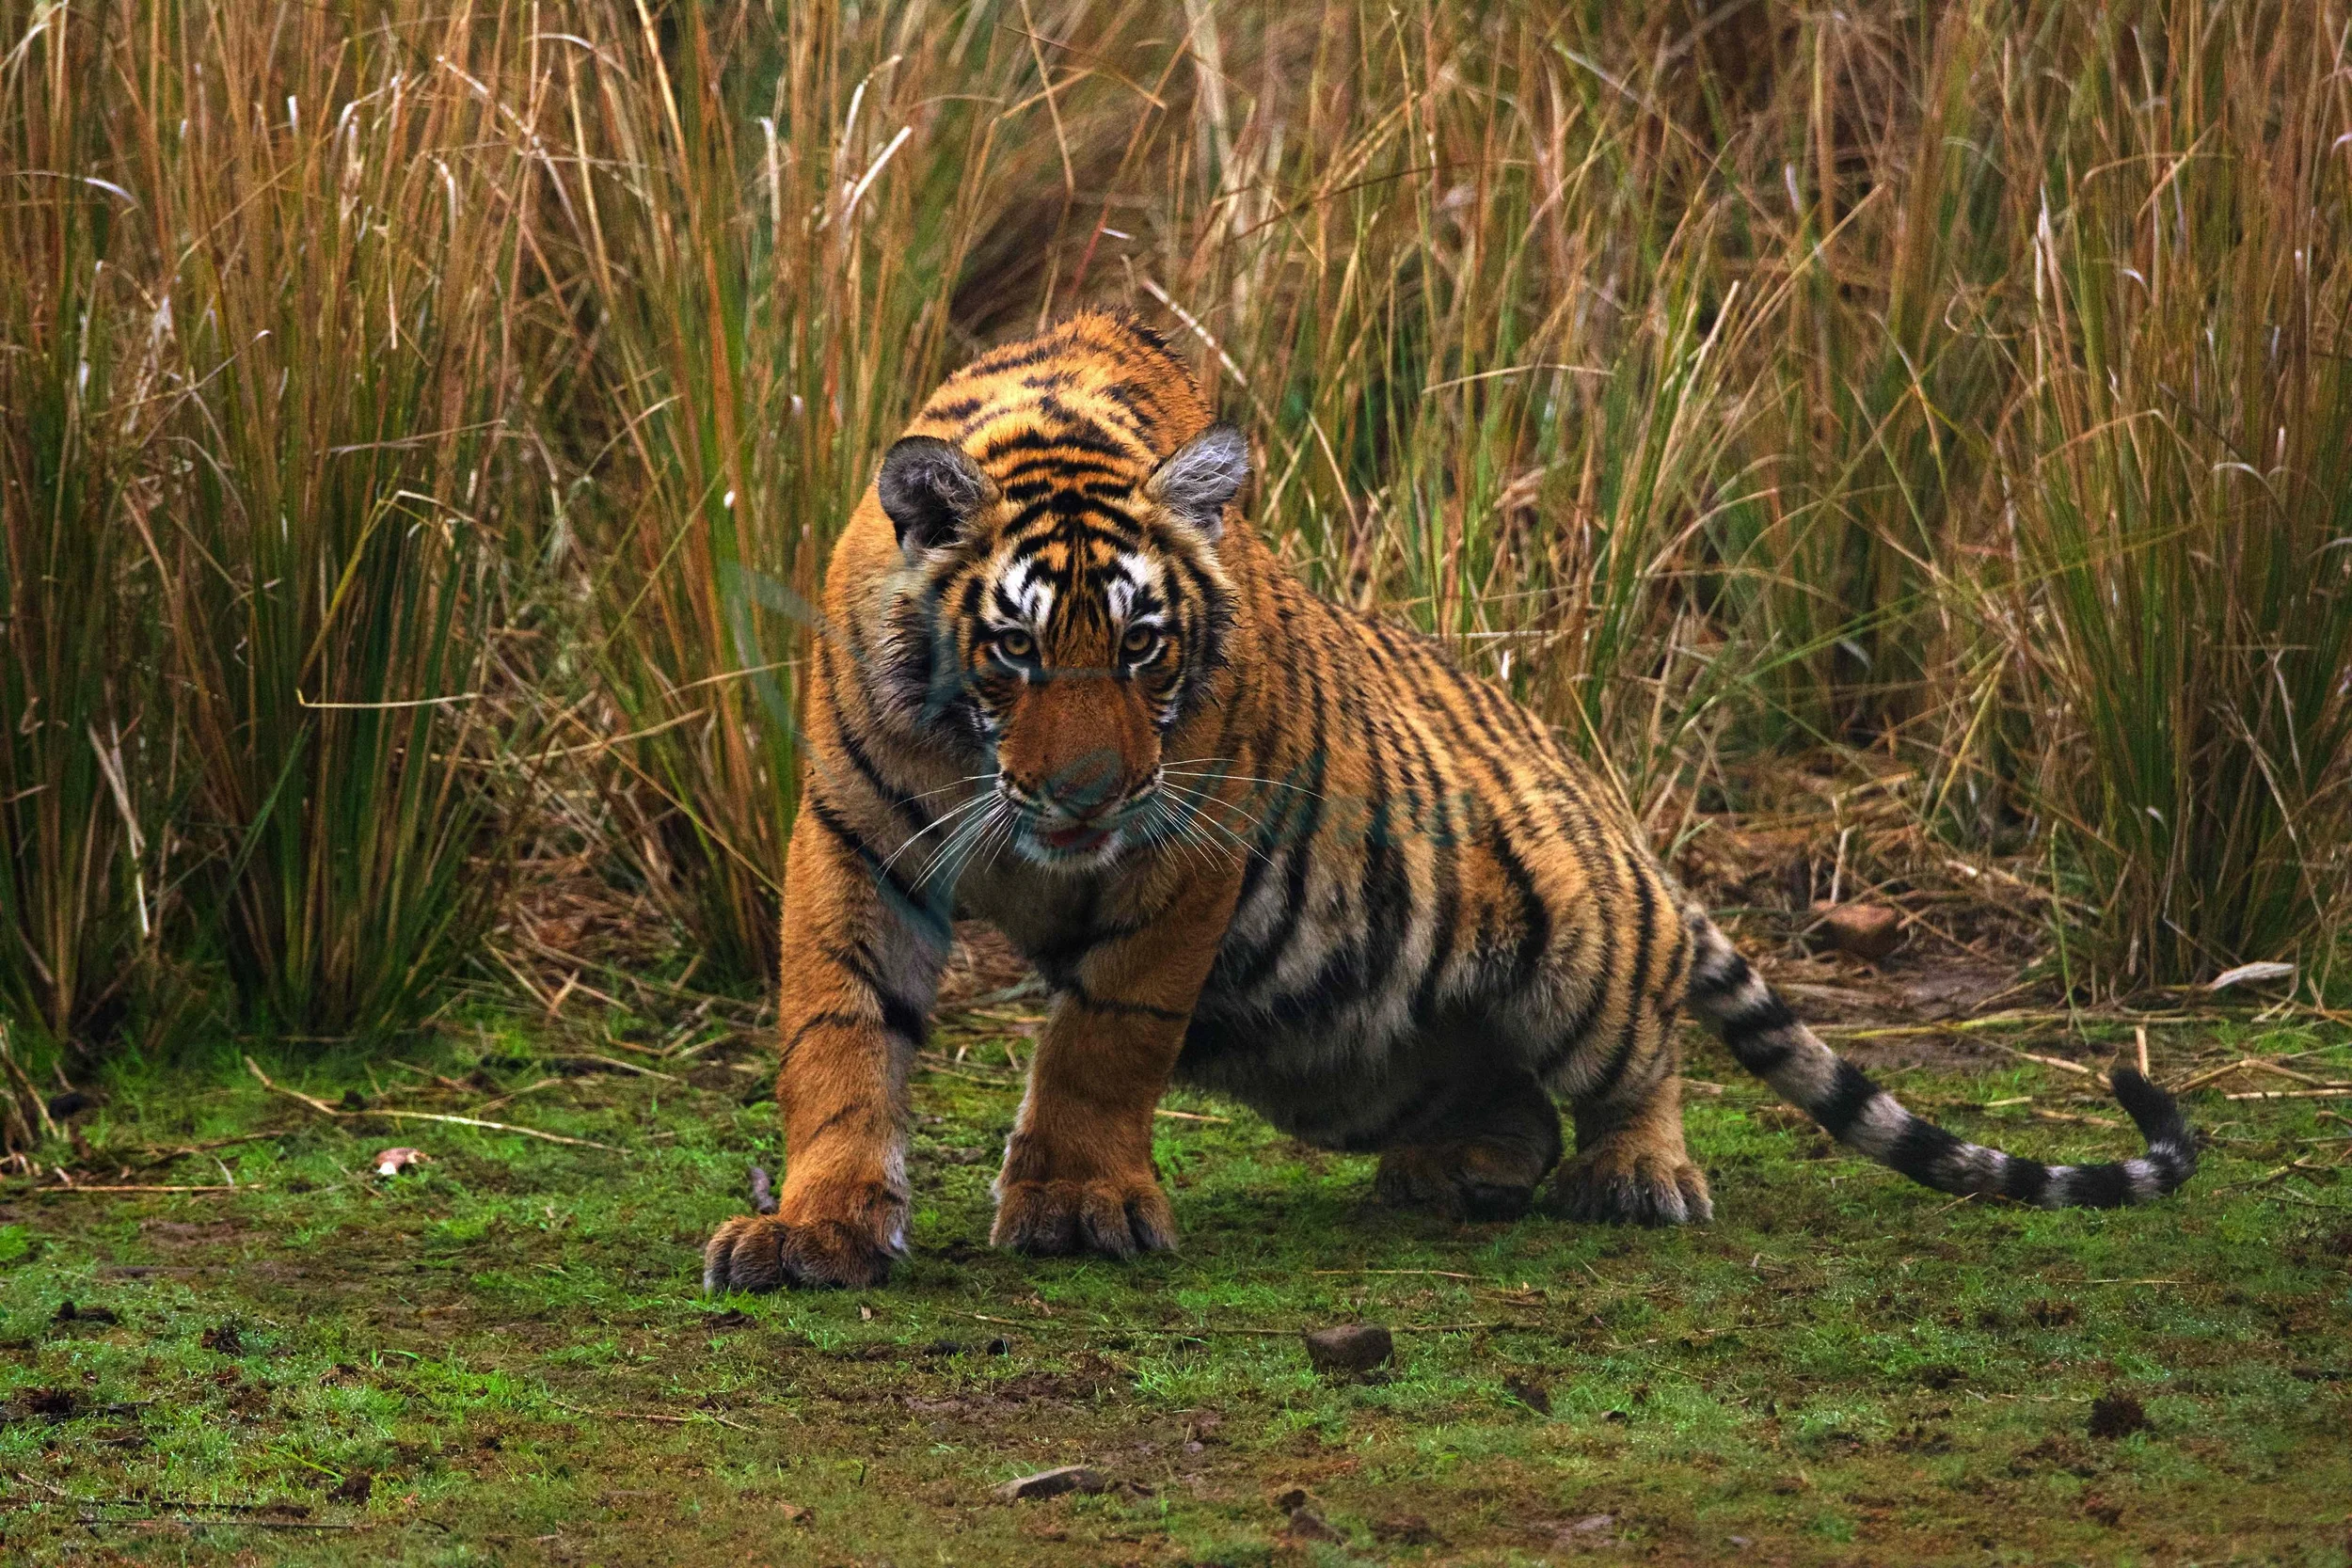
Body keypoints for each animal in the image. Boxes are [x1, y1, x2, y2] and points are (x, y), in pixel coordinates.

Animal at [702, 309, 2196, 1293]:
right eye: (1014, 647)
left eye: (1141, 646)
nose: (1083, 798)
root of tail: (1629, 837)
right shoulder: (857, 837)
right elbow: (838, 1033)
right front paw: (819, 1226)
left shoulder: (1185, 858)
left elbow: (1101, 1042)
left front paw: (1073, 1204)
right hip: (1324, 1052)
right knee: (1501, 1098)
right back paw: (1456, 1168)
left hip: (1579, 956)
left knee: (1637, 1064)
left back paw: (1635, 1175)